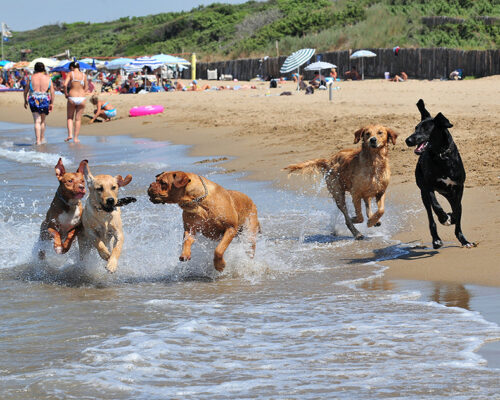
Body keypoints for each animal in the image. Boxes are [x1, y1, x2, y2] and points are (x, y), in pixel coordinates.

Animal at [404, 99, 474, 248]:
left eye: (426, 129)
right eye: (415, 128)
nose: (408, 140)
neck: (441, 156)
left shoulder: (458, 187)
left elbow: (456, 211)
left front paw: (451, 218)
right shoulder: (428, 186)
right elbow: (436, 205)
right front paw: (443, 217)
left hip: (450, 194)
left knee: (457, 214)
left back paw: (464, 240)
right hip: (424, 194)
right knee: (431, 217)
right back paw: (436, 239)